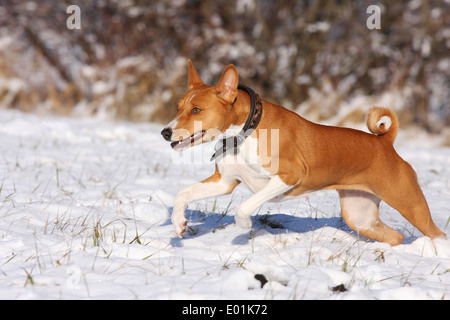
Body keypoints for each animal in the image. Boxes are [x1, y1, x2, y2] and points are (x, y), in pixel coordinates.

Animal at [160, 60, 444, 245]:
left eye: (197, 109)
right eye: (178, 107)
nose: (165, 132)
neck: (243, 134)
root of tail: (385, 143)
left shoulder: (289, 176)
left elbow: (245, 206)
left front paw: (244, 226)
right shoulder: (225, 181)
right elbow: (183, 194)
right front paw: (178, 222)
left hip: (410, 205)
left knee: (437, 234)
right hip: (359, 215)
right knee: (395, 237)